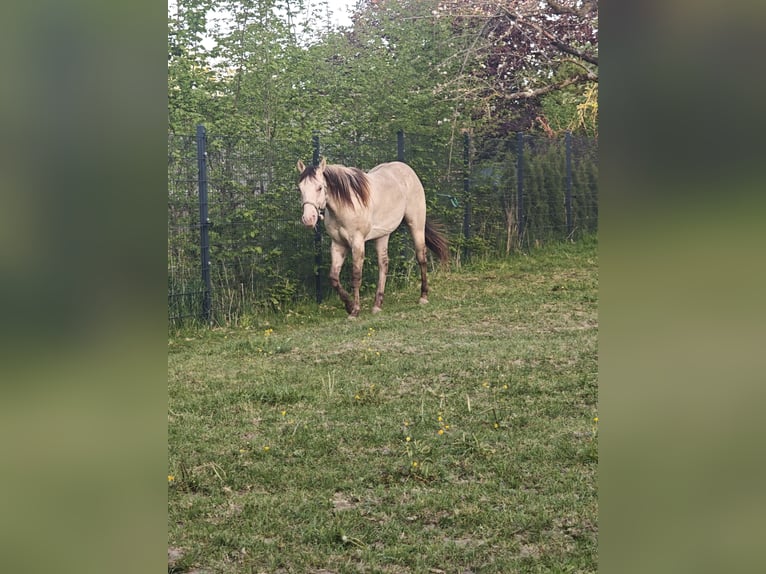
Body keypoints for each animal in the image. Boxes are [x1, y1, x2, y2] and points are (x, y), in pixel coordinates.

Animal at [297, 158, 449, 318]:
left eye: (319, 188)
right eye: (300, 189)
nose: (308, 219)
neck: (346, 205)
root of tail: (407, 169)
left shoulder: (357, 243)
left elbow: (356, 276)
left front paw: (355, 311)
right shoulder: (338, 244)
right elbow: (334, 277)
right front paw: (349, 305)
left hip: (416, 225)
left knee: (421, 258)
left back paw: (423, 297)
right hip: (382, 235)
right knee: (383, 265)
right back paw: (377, 305)